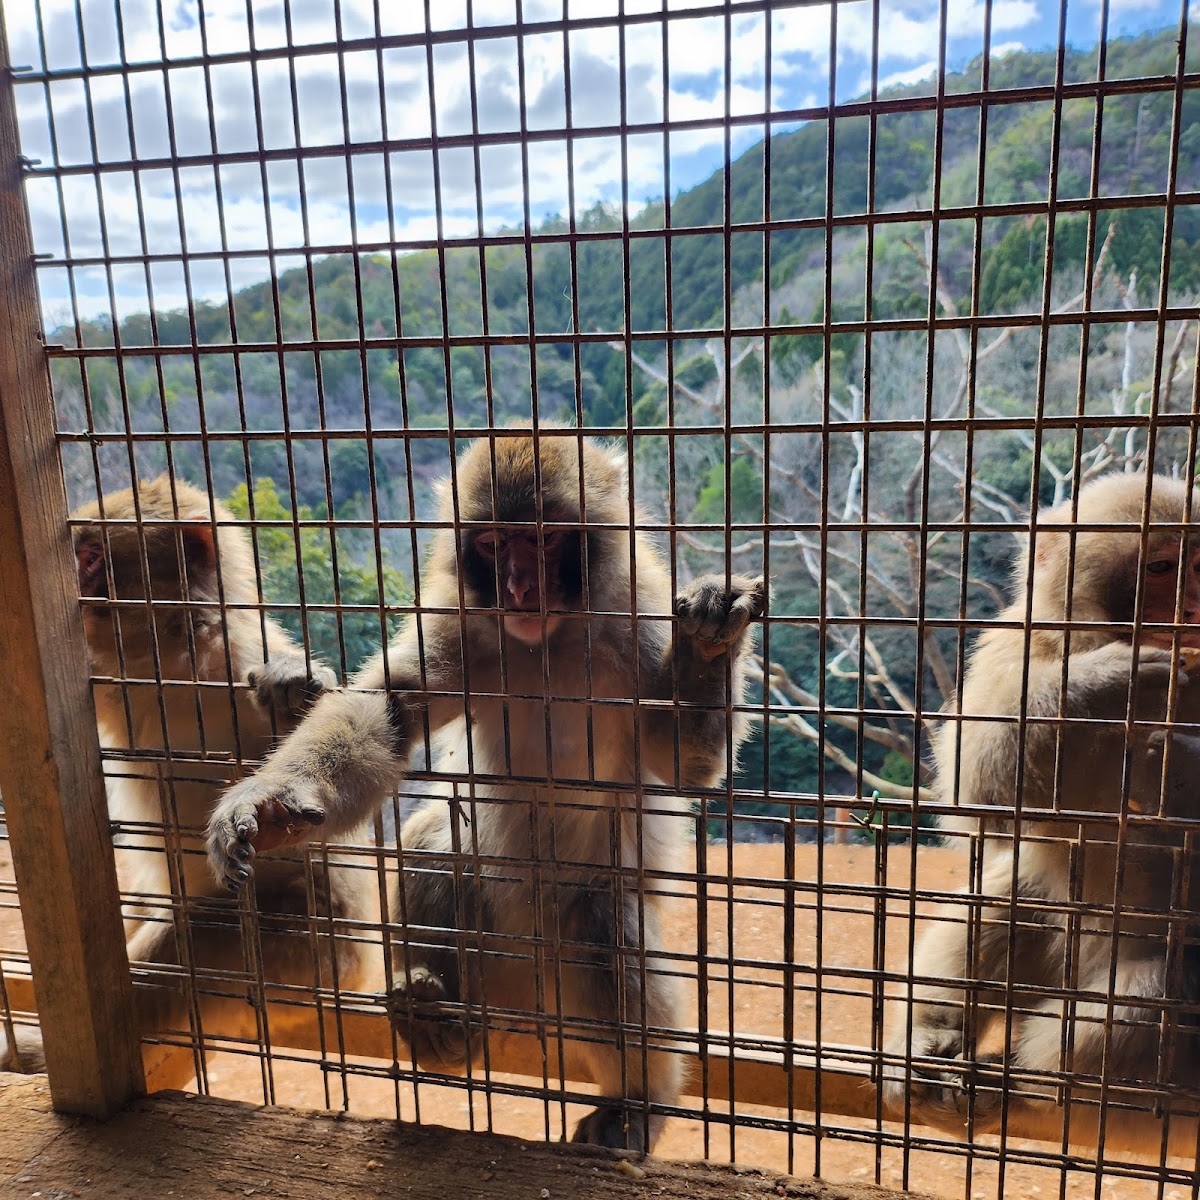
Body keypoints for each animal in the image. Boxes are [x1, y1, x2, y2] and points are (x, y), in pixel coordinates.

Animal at [0, 475, 379, 1075]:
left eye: (91, 559)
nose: (75, 588)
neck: (170, 651)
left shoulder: (238, 656)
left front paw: (293, 691)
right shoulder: (100, 670)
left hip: (303, 948)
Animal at [206, 433, 765, 1151]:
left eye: (547, 540)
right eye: (496, 544)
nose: (520, 589)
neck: (549, 641)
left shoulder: (639, 616)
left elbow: (680, 763)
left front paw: (707, 647)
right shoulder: (462, 625)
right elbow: (391, 708)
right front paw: (271, 804)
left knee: (600, 921)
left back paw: (637, 1104)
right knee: (436, 847)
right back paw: (440, 1027)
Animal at [883, 472, 1200, 1151]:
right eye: (1163, 567)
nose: (1192, 606)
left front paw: (1177, 770)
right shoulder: (1023, 638)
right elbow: (976, 791)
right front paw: (1103, 680)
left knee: (1149, 993)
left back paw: (1028, 1091)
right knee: (1013, 893)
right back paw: (926, 1040)